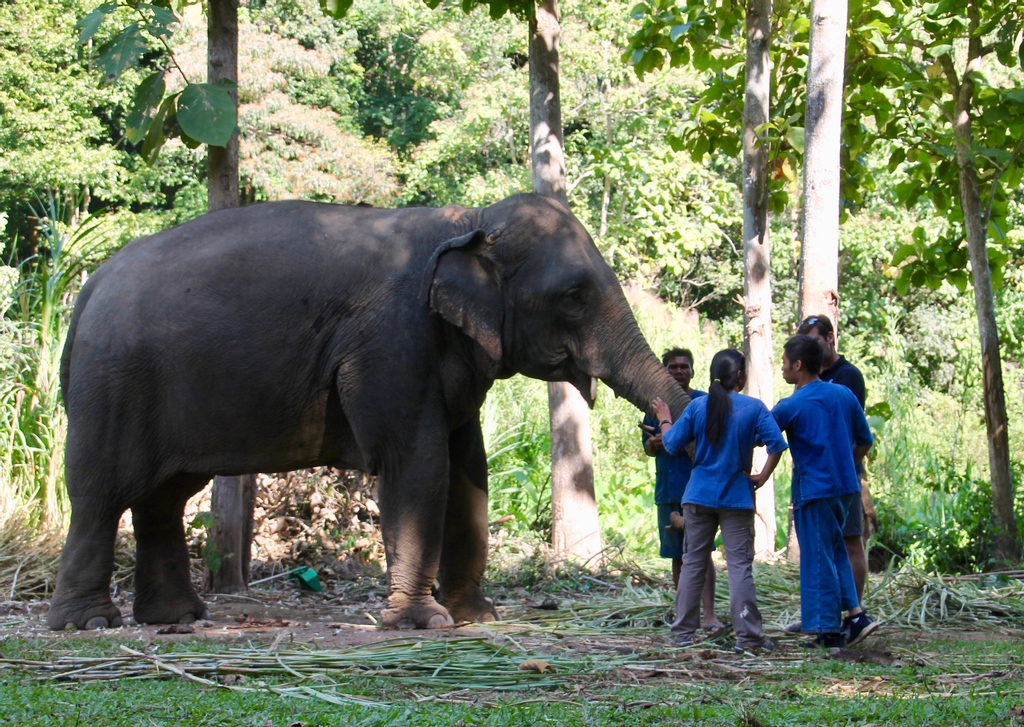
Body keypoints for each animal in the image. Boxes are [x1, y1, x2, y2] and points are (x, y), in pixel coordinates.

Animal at [47, 193, 691, 631]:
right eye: (574, 295)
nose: (662, 427)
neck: (467, 220)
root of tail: (88, 289)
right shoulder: (389, 343)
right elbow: (418, 462)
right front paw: (424, 623)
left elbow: (468, 468)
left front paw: (477, 616)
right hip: (113, 385)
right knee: (101, 492)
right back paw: (88, 623)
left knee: (164, 496)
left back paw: (177, 617)